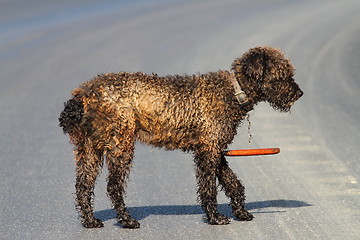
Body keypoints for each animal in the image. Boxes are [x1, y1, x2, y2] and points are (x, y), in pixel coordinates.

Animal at [59, 46, 304, 229]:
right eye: (282, 75)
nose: (299, 94)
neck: (233, 91)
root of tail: (84, 94)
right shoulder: (208, 151)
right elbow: (209, 187)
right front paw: (215, 218)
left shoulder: (215, 149)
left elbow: (232, 182)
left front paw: (241, 212)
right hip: (121, 145)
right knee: (113, 186)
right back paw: (127, 221)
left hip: (89, 149)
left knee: (83, 186)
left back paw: (90, 221)